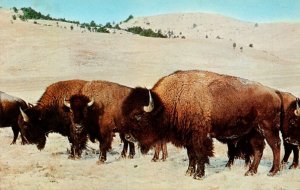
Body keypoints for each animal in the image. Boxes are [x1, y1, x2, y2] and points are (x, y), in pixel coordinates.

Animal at [119, 70, 282, 180]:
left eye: (138, 116)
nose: (127, 136)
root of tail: (274, 93)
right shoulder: (188, 138)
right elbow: (191, 155)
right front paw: (189, 172)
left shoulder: (200, 136)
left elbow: (200, 154)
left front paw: (198, 175)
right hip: (253, 132)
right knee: (258, 150)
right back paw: (250, 172)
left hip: (268, 128)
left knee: (275, 146)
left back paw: (273, 172)